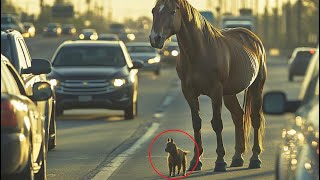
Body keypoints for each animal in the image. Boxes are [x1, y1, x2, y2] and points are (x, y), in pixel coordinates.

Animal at [150, 0, 268, 172]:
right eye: (153, 11)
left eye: (173, 11)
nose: (155, 38)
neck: (199, 53)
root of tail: (253, 39)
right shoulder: (189, 93)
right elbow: (196, 124)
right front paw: (195, 161)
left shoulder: (215, 92)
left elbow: (217, 124)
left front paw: (220, 162)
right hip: (229, 93)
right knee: (238, 116)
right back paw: (237, 158)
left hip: (256, 87)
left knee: (255, 118)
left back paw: (255, 159)